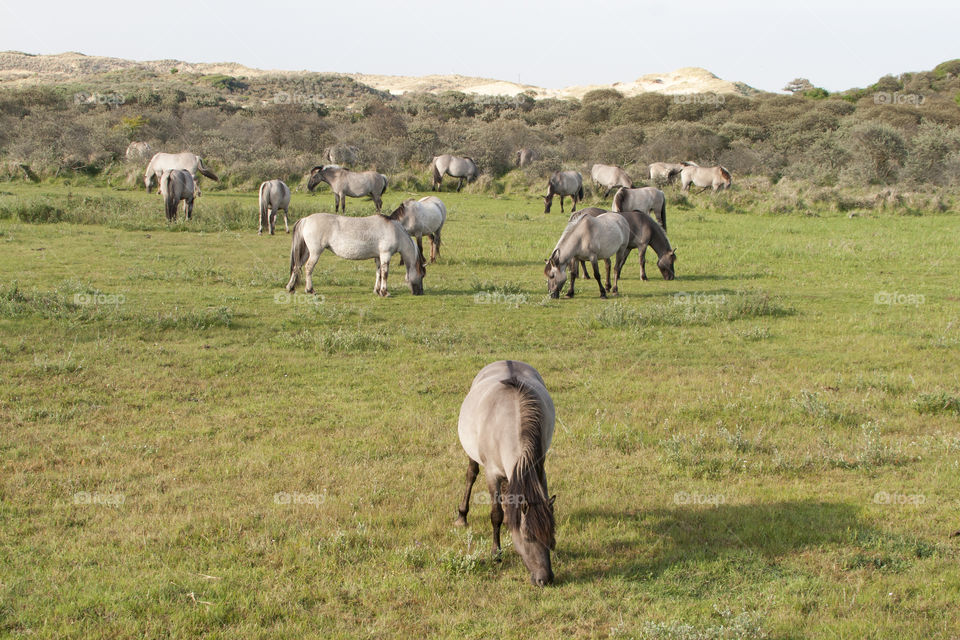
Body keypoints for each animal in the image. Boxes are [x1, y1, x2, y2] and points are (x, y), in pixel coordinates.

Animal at [284, 212, 422, 298]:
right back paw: (310, 289)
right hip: (315, 253)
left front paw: (377, 291)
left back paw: (290, 287)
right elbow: (385, 273)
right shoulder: (385, 255)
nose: (420, 292)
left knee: (297, 267)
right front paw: (385, 292)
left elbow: (378, 273)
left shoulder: (378, 257)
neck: (394, 230)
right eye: (422, 275)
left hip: (307, 252)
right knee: (308, 268)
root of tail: (306, 219)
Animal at [456, 358, 556, 588]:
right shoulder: (492, 475)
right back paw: (462, 515)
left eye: (549, 535)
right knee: (471, 475)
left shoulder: (540, 468)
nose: (545, 579)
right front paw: (496, 553)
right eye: (528, 538)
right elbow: (497, 514)